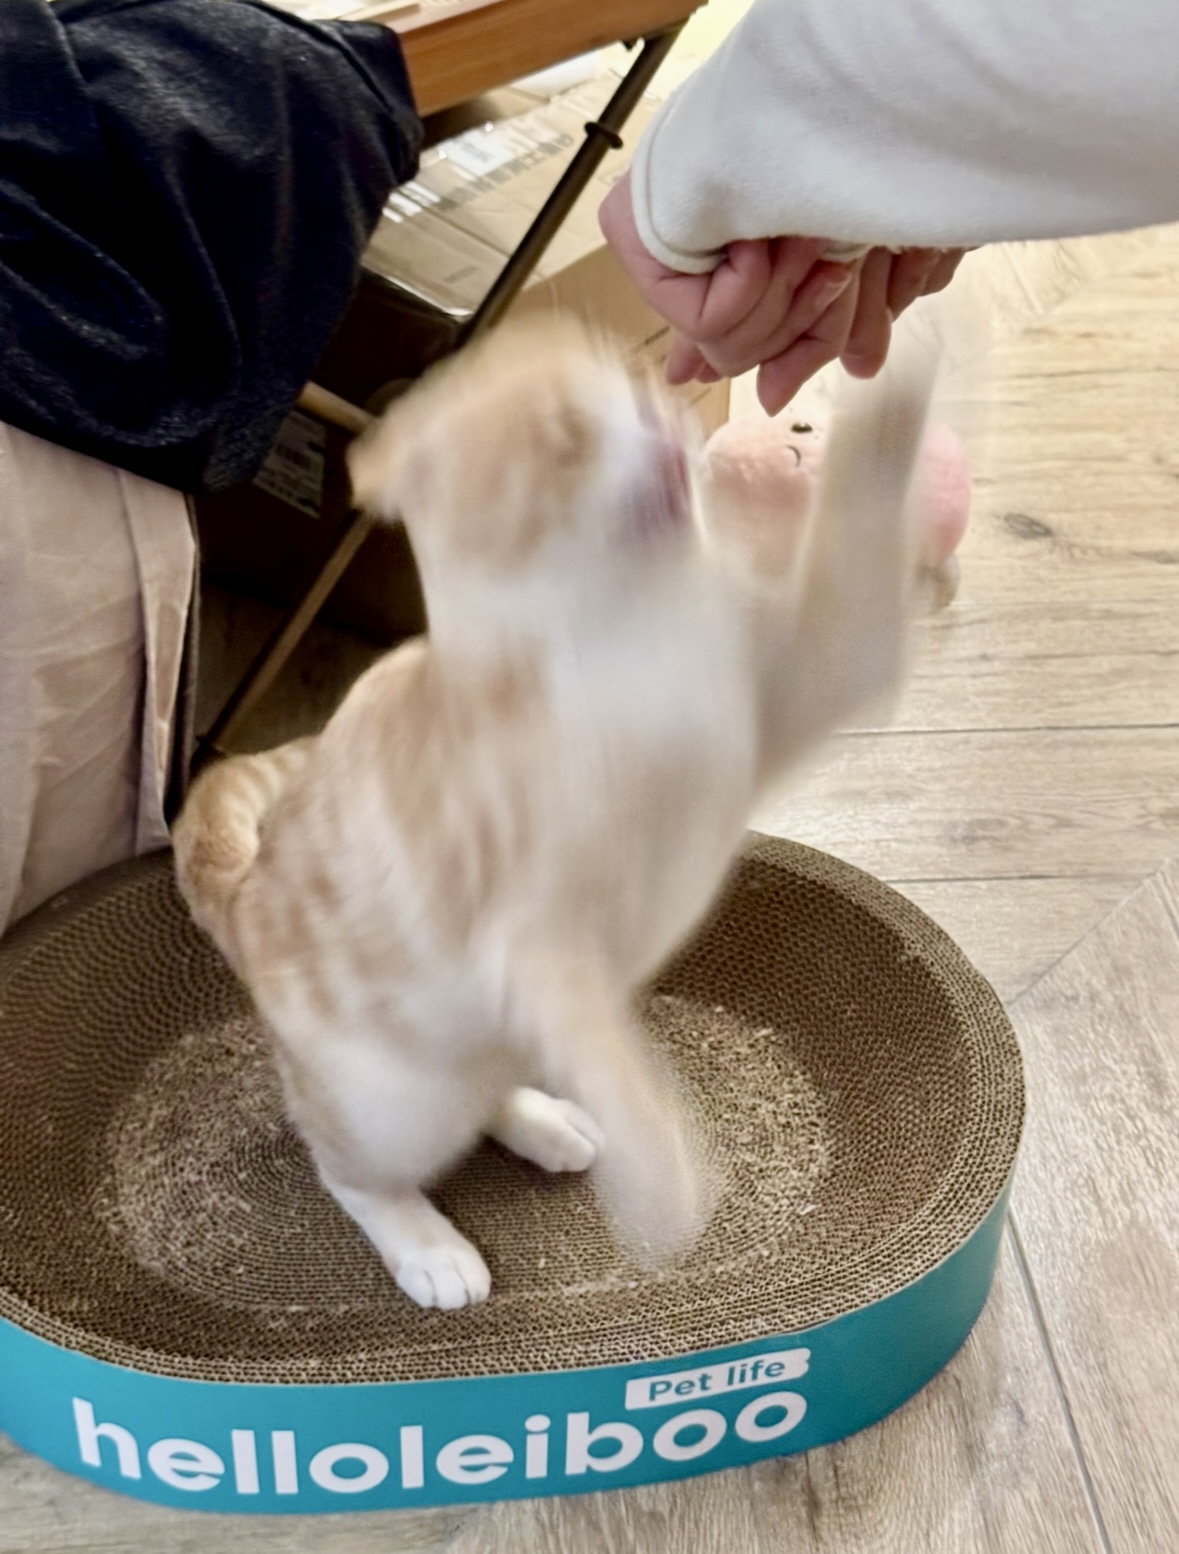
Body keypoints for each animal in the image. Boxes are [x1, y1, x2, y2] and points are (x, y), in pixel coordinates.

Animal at [172, 316, 937, 1310]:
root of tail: (242, 892)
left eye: (645, 388)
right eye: (567, 433)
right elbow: (619, 1063)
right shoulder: (536, 940)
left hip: (481, 1053)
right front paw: (665, 1185)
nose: (663, 430)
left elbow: (859, 557)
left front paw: (905, 370)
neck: (626, 628)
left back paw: (542, 1121)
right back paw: (424, 1240)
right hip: (390, 1103)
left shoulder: (816, 676)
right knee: (350, 1167)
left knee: (498, 1083)